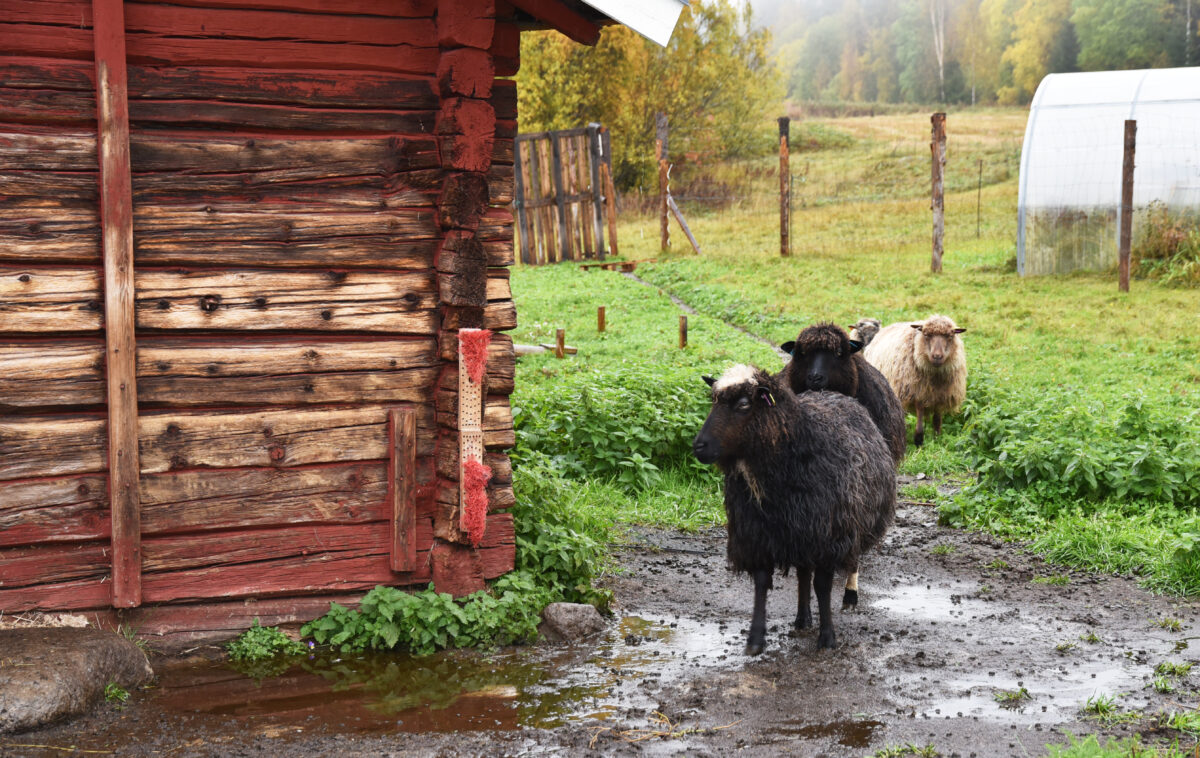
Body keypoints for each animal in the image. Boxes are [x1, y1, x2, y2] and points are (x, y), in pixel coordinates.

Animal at [691, 364, 897, 652]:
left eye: (743, 404)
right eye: (714, 401)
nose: (699, 446)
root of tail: (835, 394)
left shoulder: (828, 534)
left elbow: (822, 586)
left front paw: (827, 637)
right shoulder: (760, 534)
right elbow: (762, 583)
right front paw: (755, 639)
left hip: (854, 517)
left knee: (851, 558)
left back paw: (850, 595)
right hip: (801, 533)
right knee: (802, 573)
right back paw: (802, 618)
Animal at [864, 311, 964, 446]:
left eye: (949, 336)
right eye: (926, 335)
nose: (937, 356)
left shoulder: (940, 397)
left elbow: (937, 421)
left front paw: (936, 438)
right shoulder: (917, 393)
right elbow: (920, 420)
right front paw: (918, 440)